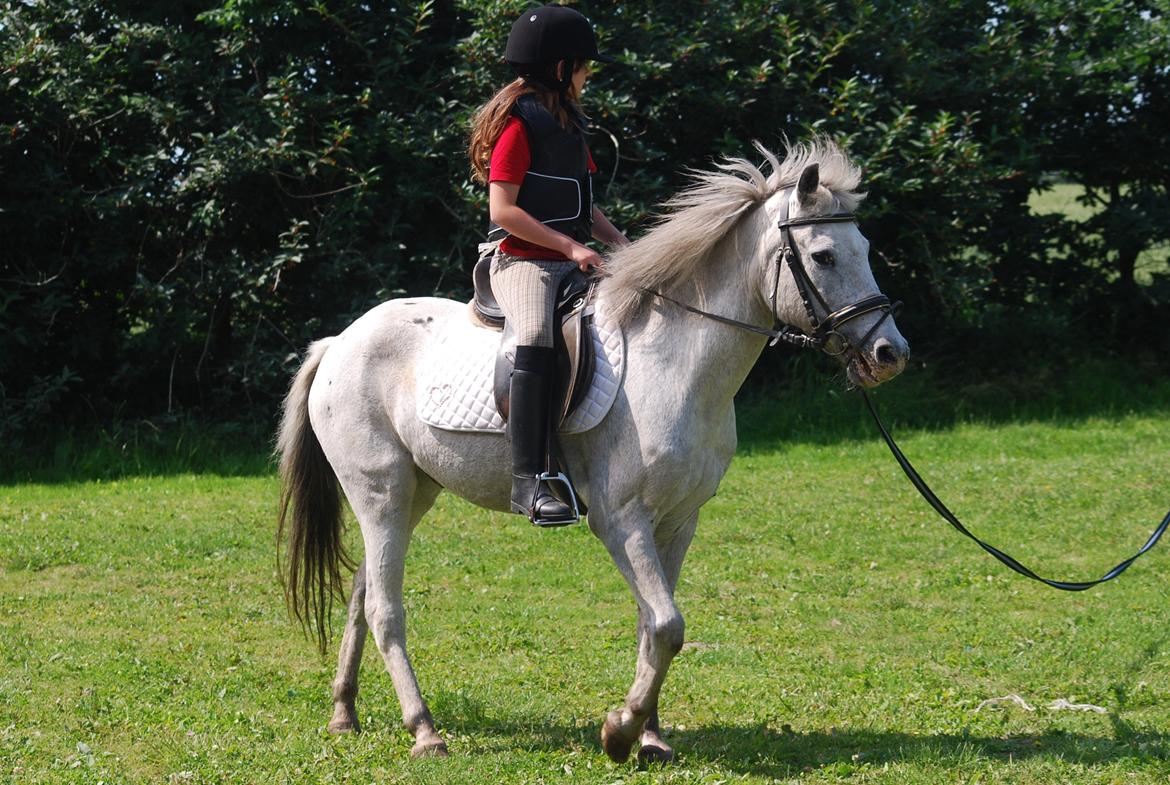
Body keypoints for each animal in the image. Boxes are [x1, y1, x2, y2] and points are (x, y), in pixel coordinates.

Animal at [278, 139, 907, 762]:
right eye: (824, 256)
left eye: (864, 248)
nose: (889, 353)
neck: (677, 361)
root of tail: (340, 341)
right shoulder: (621, 518)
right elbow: (668, 624)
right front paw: (620, 730)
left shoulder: (678, 521)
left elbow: (653, 625)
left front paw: (650, 736)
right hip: (380, 493)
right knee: (384, 609)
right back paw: (424, 730)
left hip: (412, 494)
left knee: (362, 593)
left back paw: (344, 713)